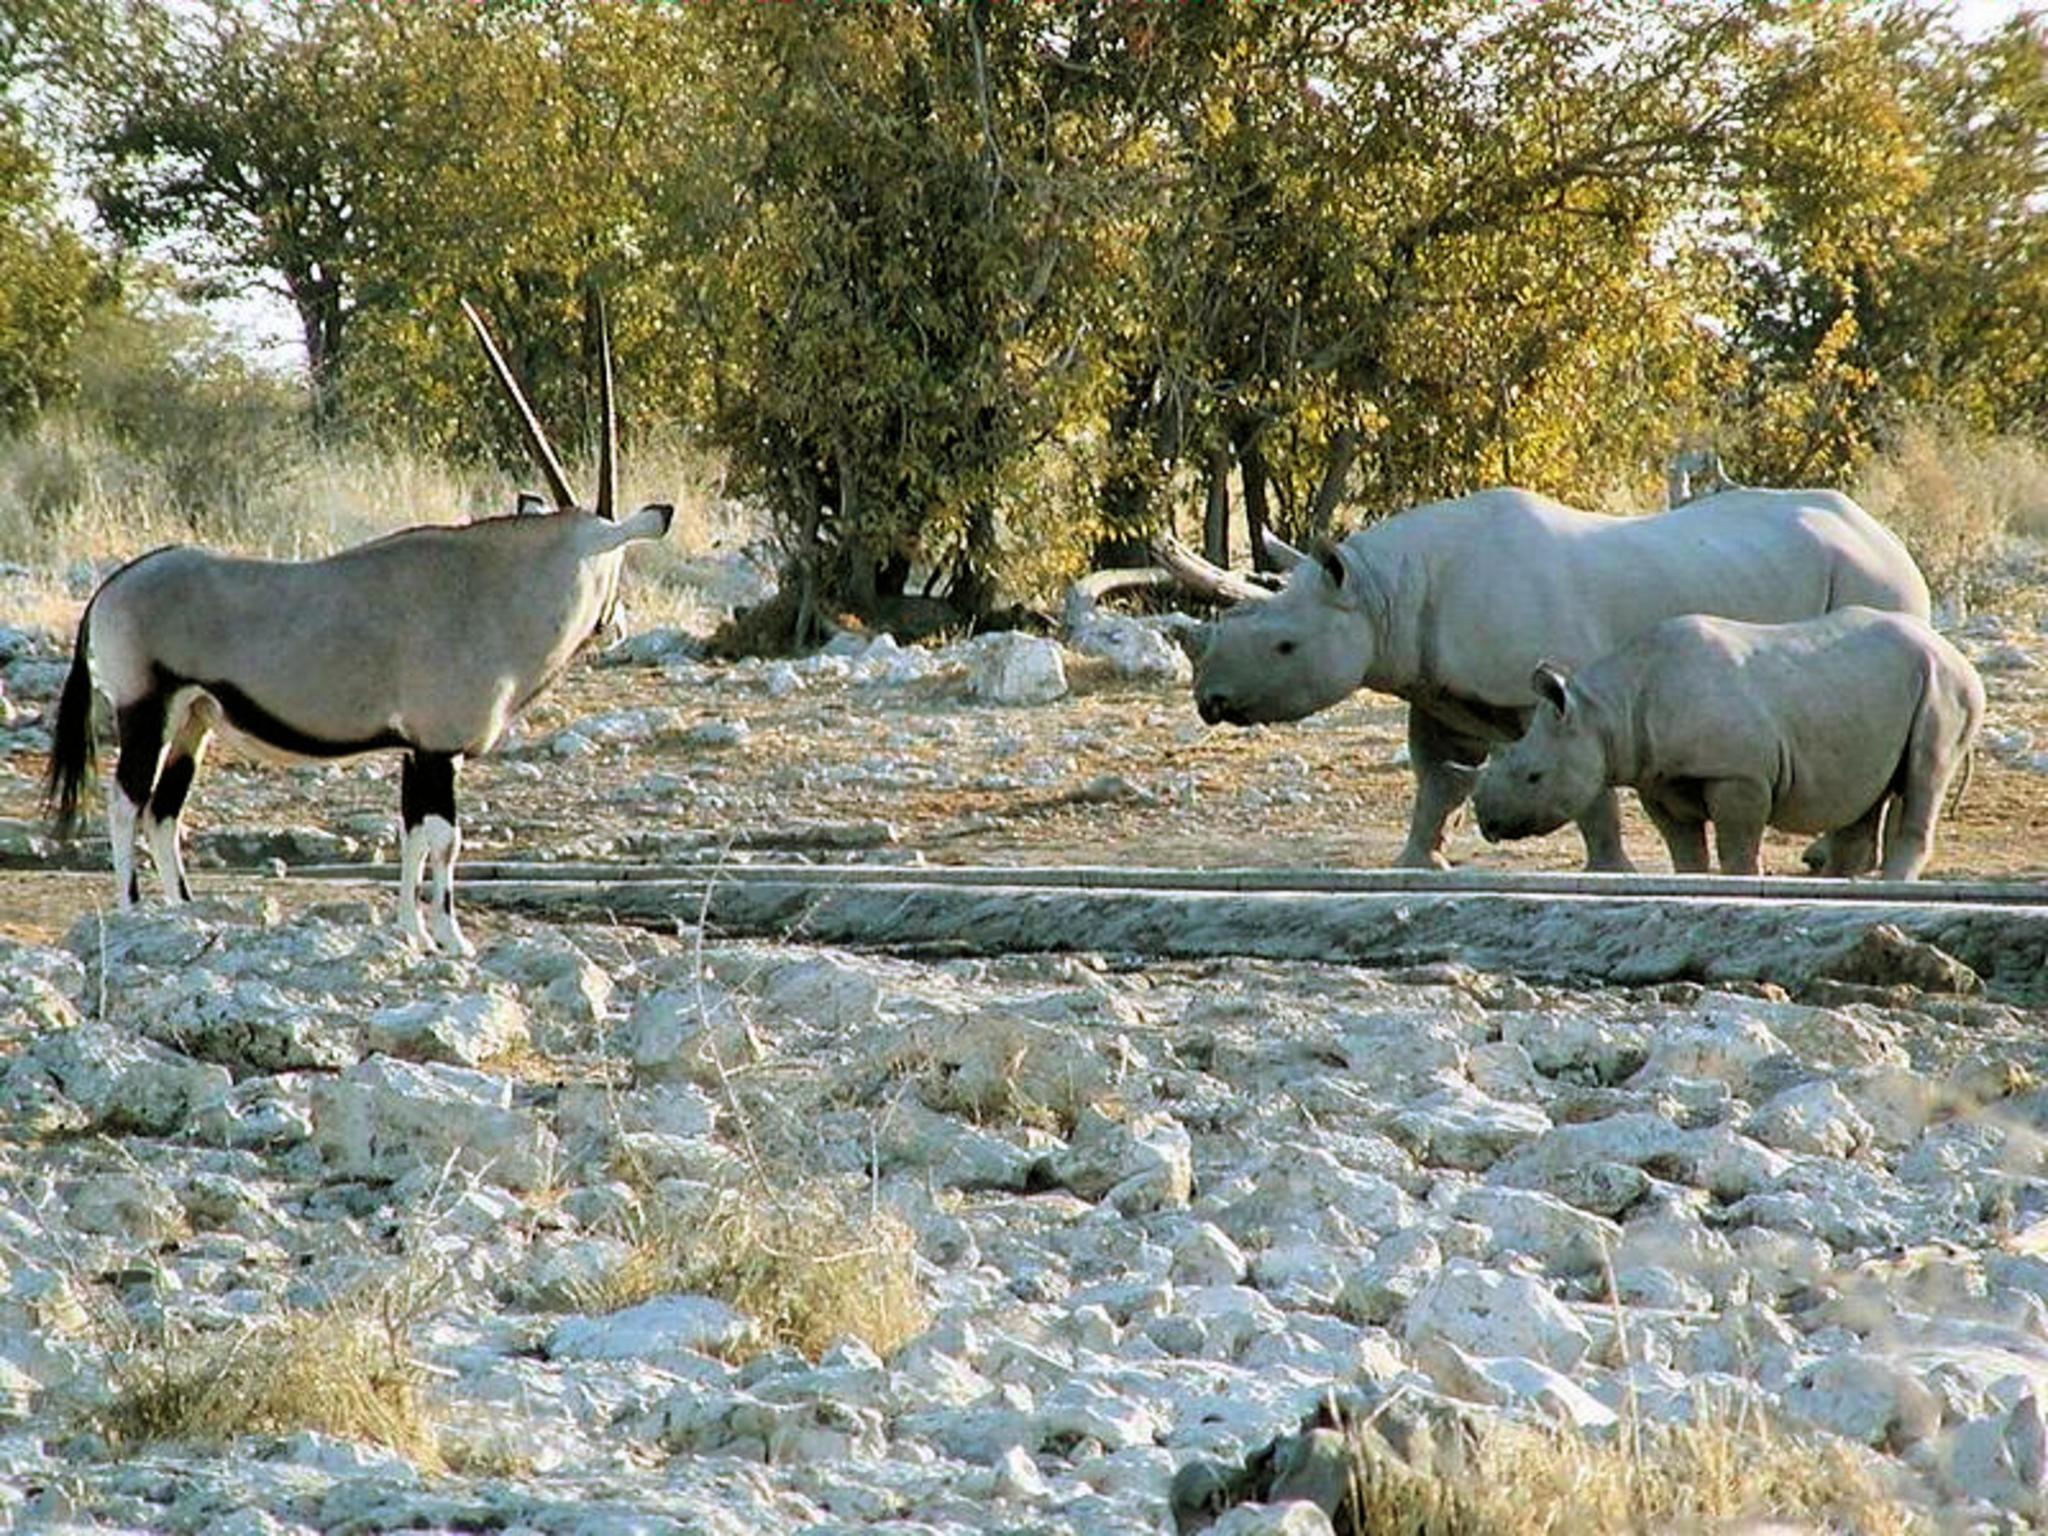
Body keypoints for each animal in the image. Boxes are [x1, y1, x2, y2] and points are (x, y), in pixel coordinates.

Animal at [1191, 486, 1929, 870]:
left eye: (1284, 646)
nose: (1209, 701)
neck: (1382, 592)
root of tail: (1886, 535)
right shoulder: (1439, 690)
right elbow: (1438, 780)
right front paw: (1417, 865)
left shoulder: (1558, 694)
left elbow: (1589, 790)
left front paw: (1611, 872)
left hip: (1874, 581)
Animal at [1470, 607, 1983, 880]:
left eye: (1534, 776)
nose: (1489, 824)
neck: (1608, 711)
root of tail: (1955, 653)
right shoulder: (1657, 778)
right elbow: (1684, 848)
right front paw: (1692, 881)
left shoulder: (1740, 773)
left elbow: (1737, 844)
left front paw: (1741, 879)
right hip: (1881, 690)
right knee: (1865, 795)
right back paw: (1845, 883)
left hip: (1945, 687)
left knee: (1924, 776)